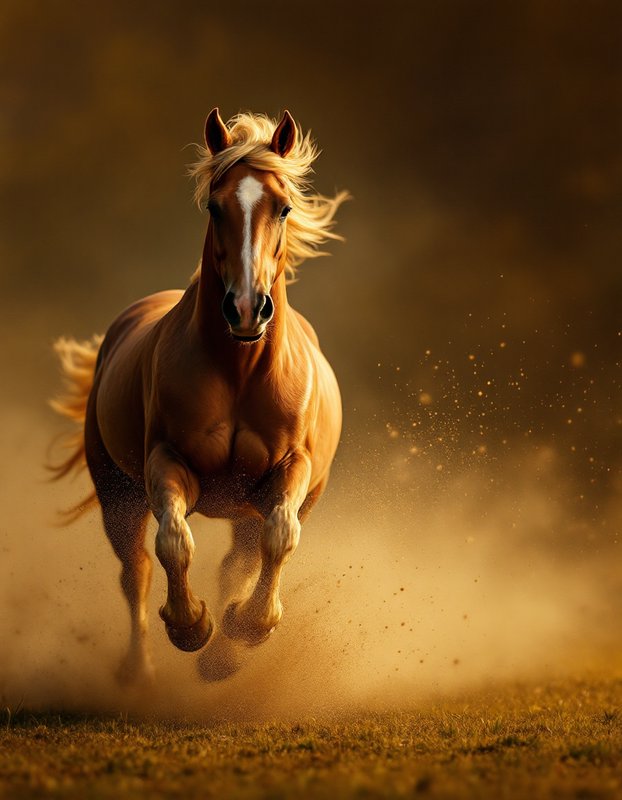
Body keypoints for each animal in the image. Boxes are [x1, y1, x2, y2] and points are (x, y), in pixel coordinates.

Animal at [50, 109, 348, 683]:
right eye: (215, 205)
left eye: (284, 207)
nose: (247, 309)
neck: (240, 372)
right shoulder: (167, 462)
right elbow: (173, 540)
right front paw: (191, 627)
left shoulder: (290, 469)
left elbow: (282, 536)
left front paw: (245, 631)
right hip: (117, 494)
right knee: (136, 572)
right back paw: (140, 671)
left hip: (246, 507)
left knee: (242, 560)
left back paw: (222, 657)